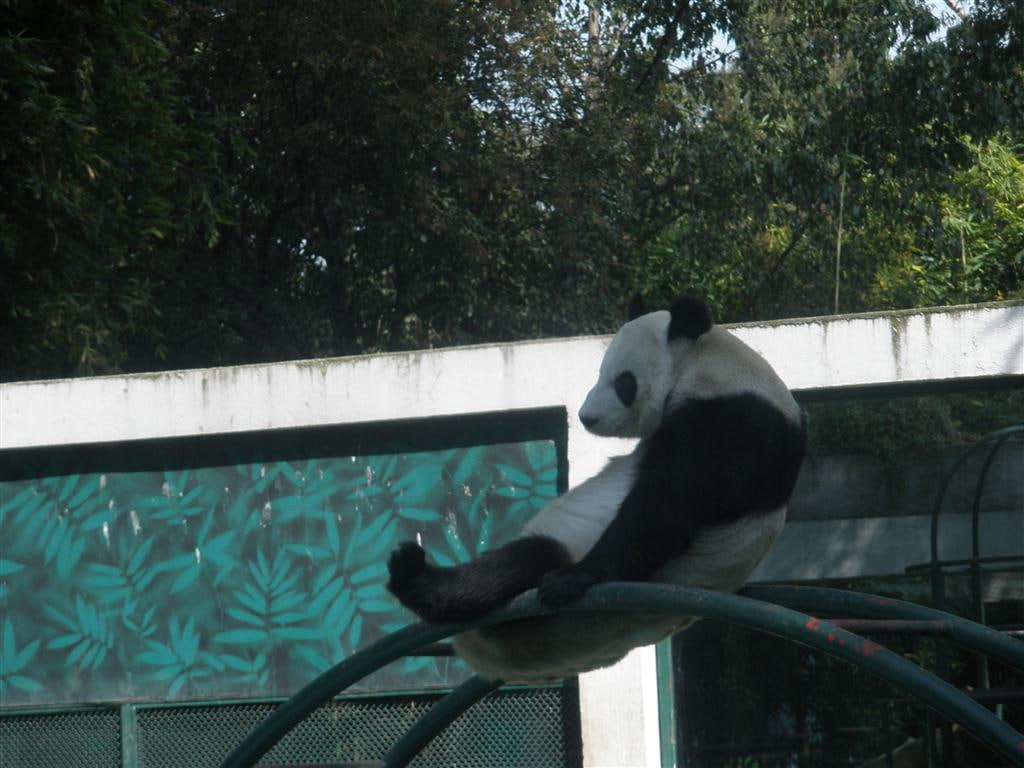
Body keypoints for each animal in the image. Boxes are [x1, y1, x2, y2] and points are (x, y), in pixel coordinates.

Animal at [387, 297, 806, 682]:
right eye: (599, 373)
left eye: (623, 382)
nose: (587, 417)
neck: (711, 364)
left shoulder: (731, 426)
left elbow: (662, 512)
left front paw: (576, 578)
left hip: (551, 607)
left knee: (528, 559)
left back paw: (416, 578)